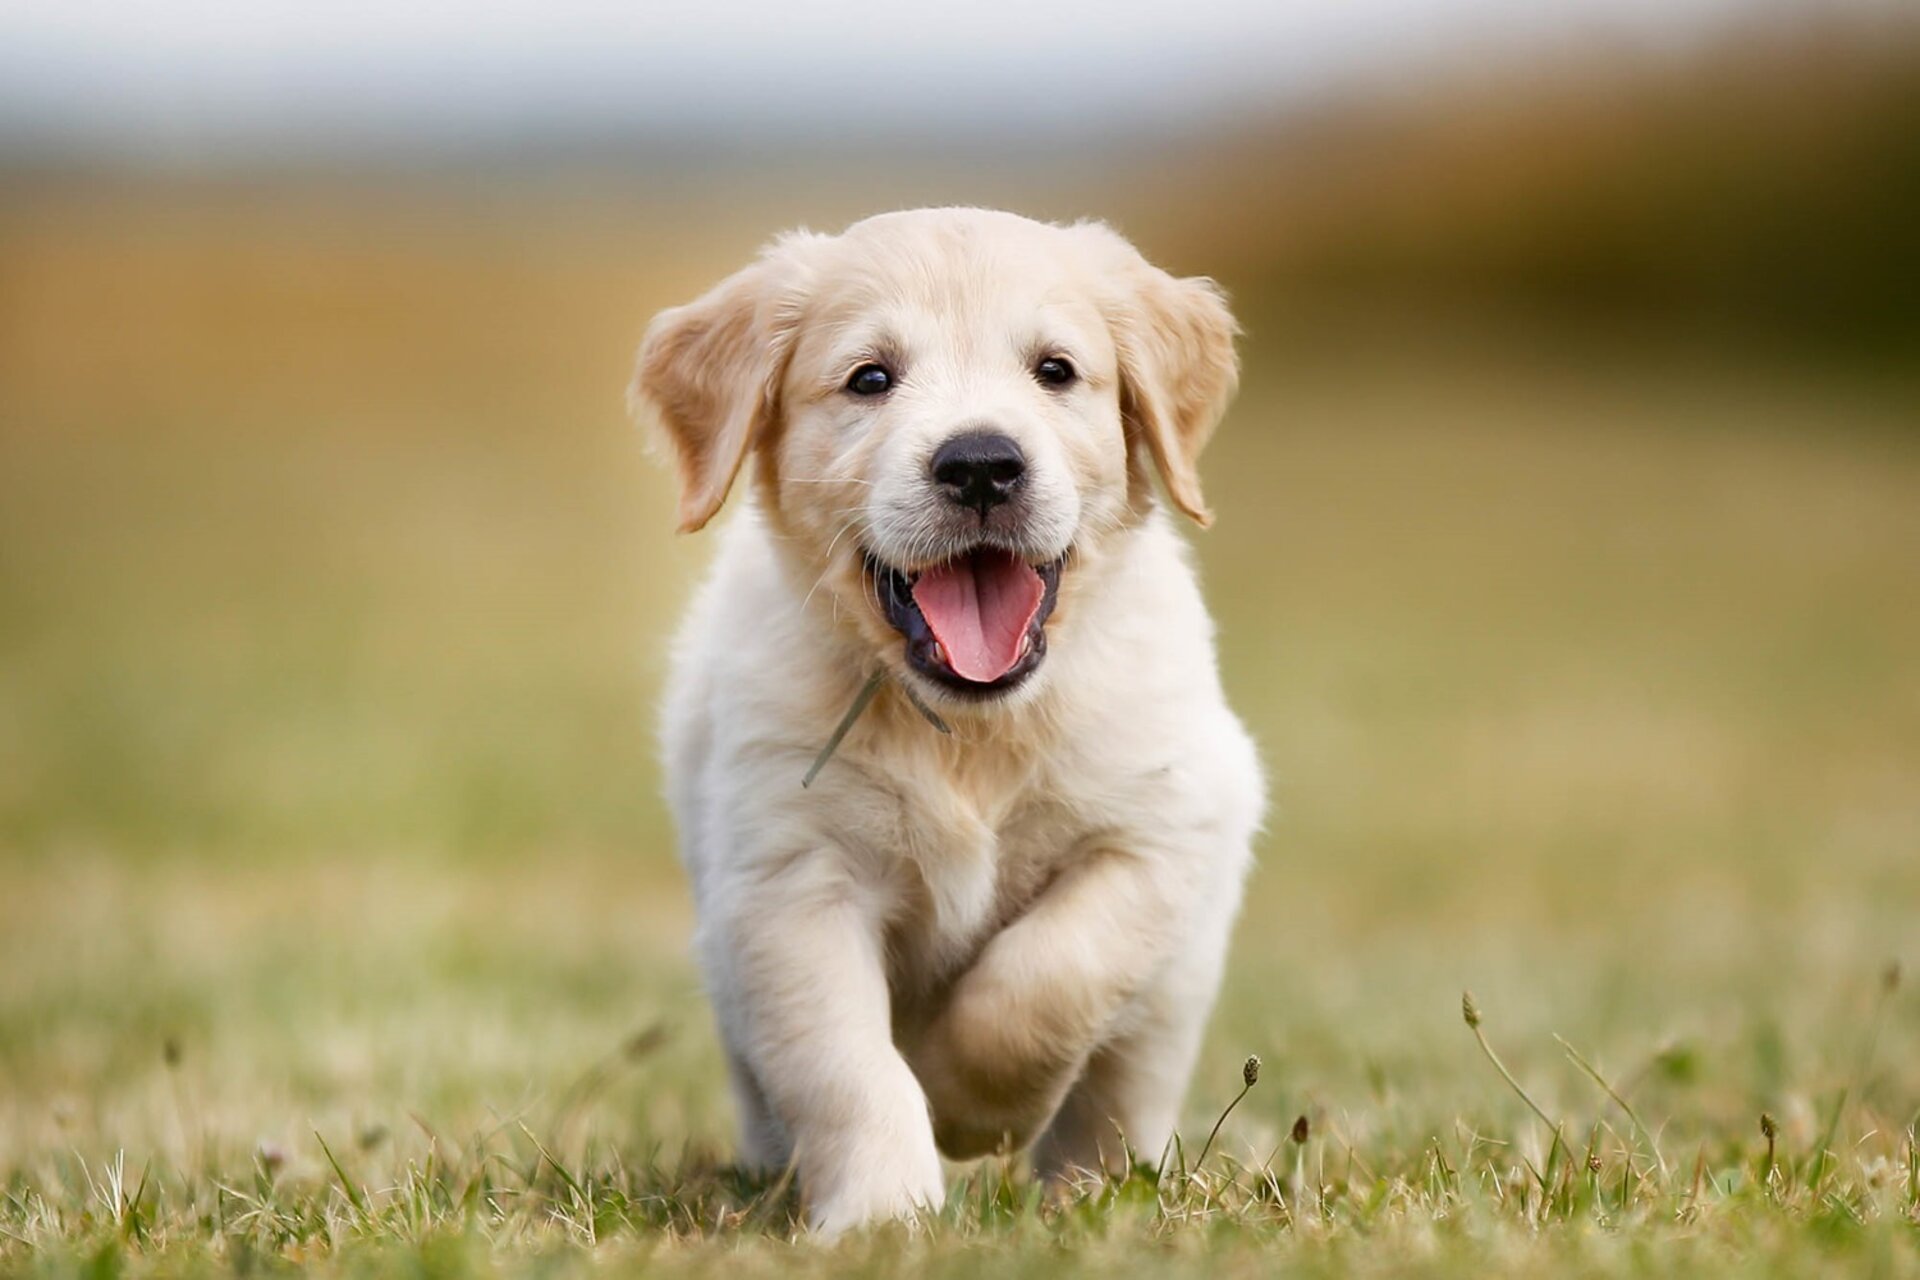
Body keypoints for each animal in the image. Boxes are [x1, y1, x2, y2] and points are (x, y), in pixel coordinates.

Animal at [629, 210, 1267, 1243]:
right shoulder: (789, 886)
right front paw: (884, 1216)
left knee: (1120, 1089)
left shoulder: (1163, 830)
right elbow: (848, 1069)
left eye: (1055, 370)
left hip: (1174, 988)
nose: (980, 464)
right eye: (870, 379)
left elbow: (1049, 976)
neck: (973, 730)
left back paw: (1097, 1191)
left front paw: (971, 1106)